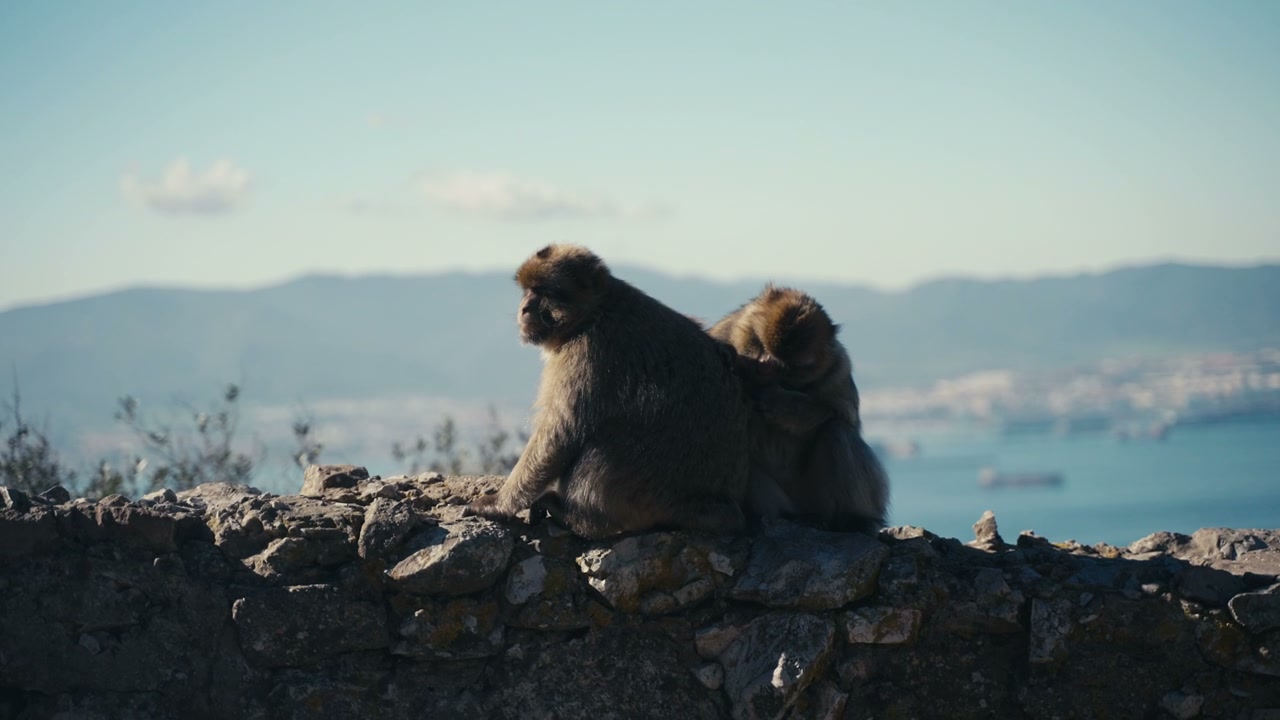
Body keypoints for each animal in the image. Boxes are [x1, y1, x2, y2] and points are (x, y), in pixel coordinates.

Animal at [465, 244, 753, 539]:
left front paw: (498, 504)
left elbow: (558, 435)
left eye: (543, 291)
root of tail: (717, 505)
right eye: (527, 290)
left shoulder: (584, 356)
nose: (524, 309)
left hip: (646, 495)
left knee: (603, 444)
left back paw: (577, 519)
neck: (596, 312)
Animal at [708, 284, 889, 533]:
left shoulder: (838, 368)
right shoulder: (720, 334)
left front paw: (782, 404)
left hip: (817, 499)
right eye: (761, 345)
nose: (764, 364)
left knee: (837, 431)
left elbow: (844, 416)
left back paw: (854, 519)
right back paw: (779, 517)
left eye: (786, 364)